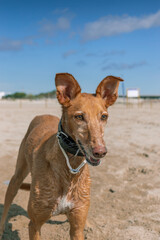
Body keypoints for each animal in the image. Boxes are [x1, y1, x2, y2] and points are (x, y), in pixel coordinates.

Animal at [0, 72, 123, 238]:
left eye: (104, 117)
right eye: (79, 117)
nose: (100, 152)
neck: (70, 169)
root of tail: (43, 114)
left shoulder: (77, 225)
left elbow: (78, 225)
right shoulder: (34, 224)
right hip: (18, 174)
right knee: (8, 199)